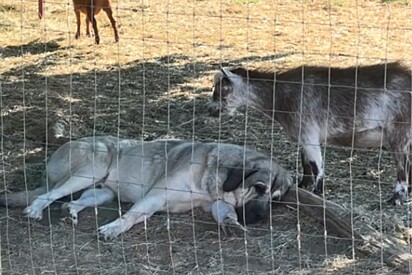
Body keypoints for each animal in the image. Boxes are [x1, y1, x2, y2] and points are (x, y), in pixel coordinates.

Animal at [0, 137, 292, 240]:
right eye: (259, 188)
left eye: (276, 199)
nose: (261, 218)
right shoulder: (155, 198)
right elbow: (132, 216)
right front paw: (113, 229)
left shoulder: (217, 203)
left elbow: (225, 213)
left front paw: (232, 224)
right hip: (90, 170)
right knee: (46, 195)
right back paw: (35, 211)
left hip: (101, 191)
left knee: (71, 201)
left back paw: (70, 213)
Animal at [209, 62, 412, 205]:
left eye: (222, 89)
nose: (211, 110)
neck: (280, 95)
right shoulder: (303, 135)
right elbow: (304, 160)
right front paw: (303, 186)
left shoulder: (309, 133)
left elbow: (317, 166)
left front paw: (318, 193)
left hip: (399, 131)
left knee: (402, 167)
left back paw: (396, 199)